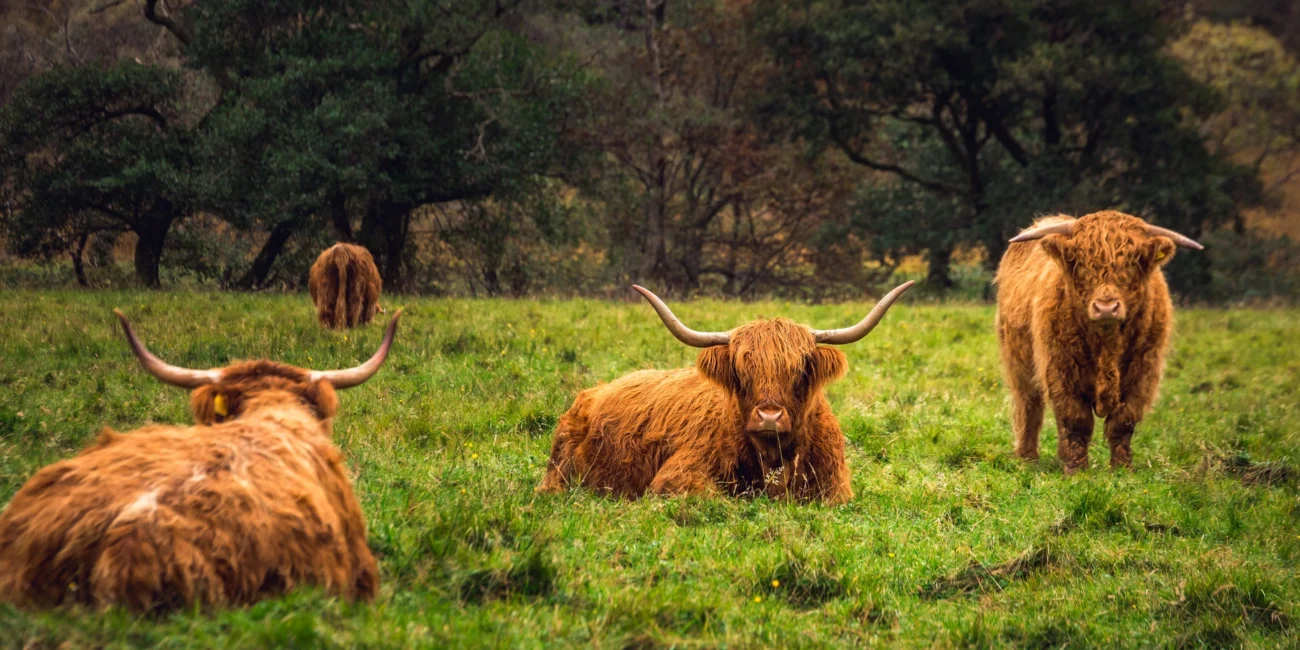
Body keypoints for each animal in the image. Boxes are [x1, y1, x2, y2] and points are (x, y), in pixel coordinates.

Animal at [537, 282, 914, 504]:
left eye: (799, 370)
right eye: (742, 372)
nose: (769, 417)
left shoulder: (836, 490)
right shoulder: (677, 477)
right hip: (561, 473)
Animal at [994, 210, 1203, 473]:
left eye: (1134, 261)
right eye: (1080, 261)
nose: (1106, 307)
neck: (1107, 345)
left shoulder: (1144, 372)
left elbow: (1123, 423)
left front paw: (1122, 468)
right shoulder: (1060, 368)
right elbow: (1075, 420)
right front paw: (1076, 469)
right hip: (1018, 364)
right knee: (1029, 406)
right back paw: (1027, 457)